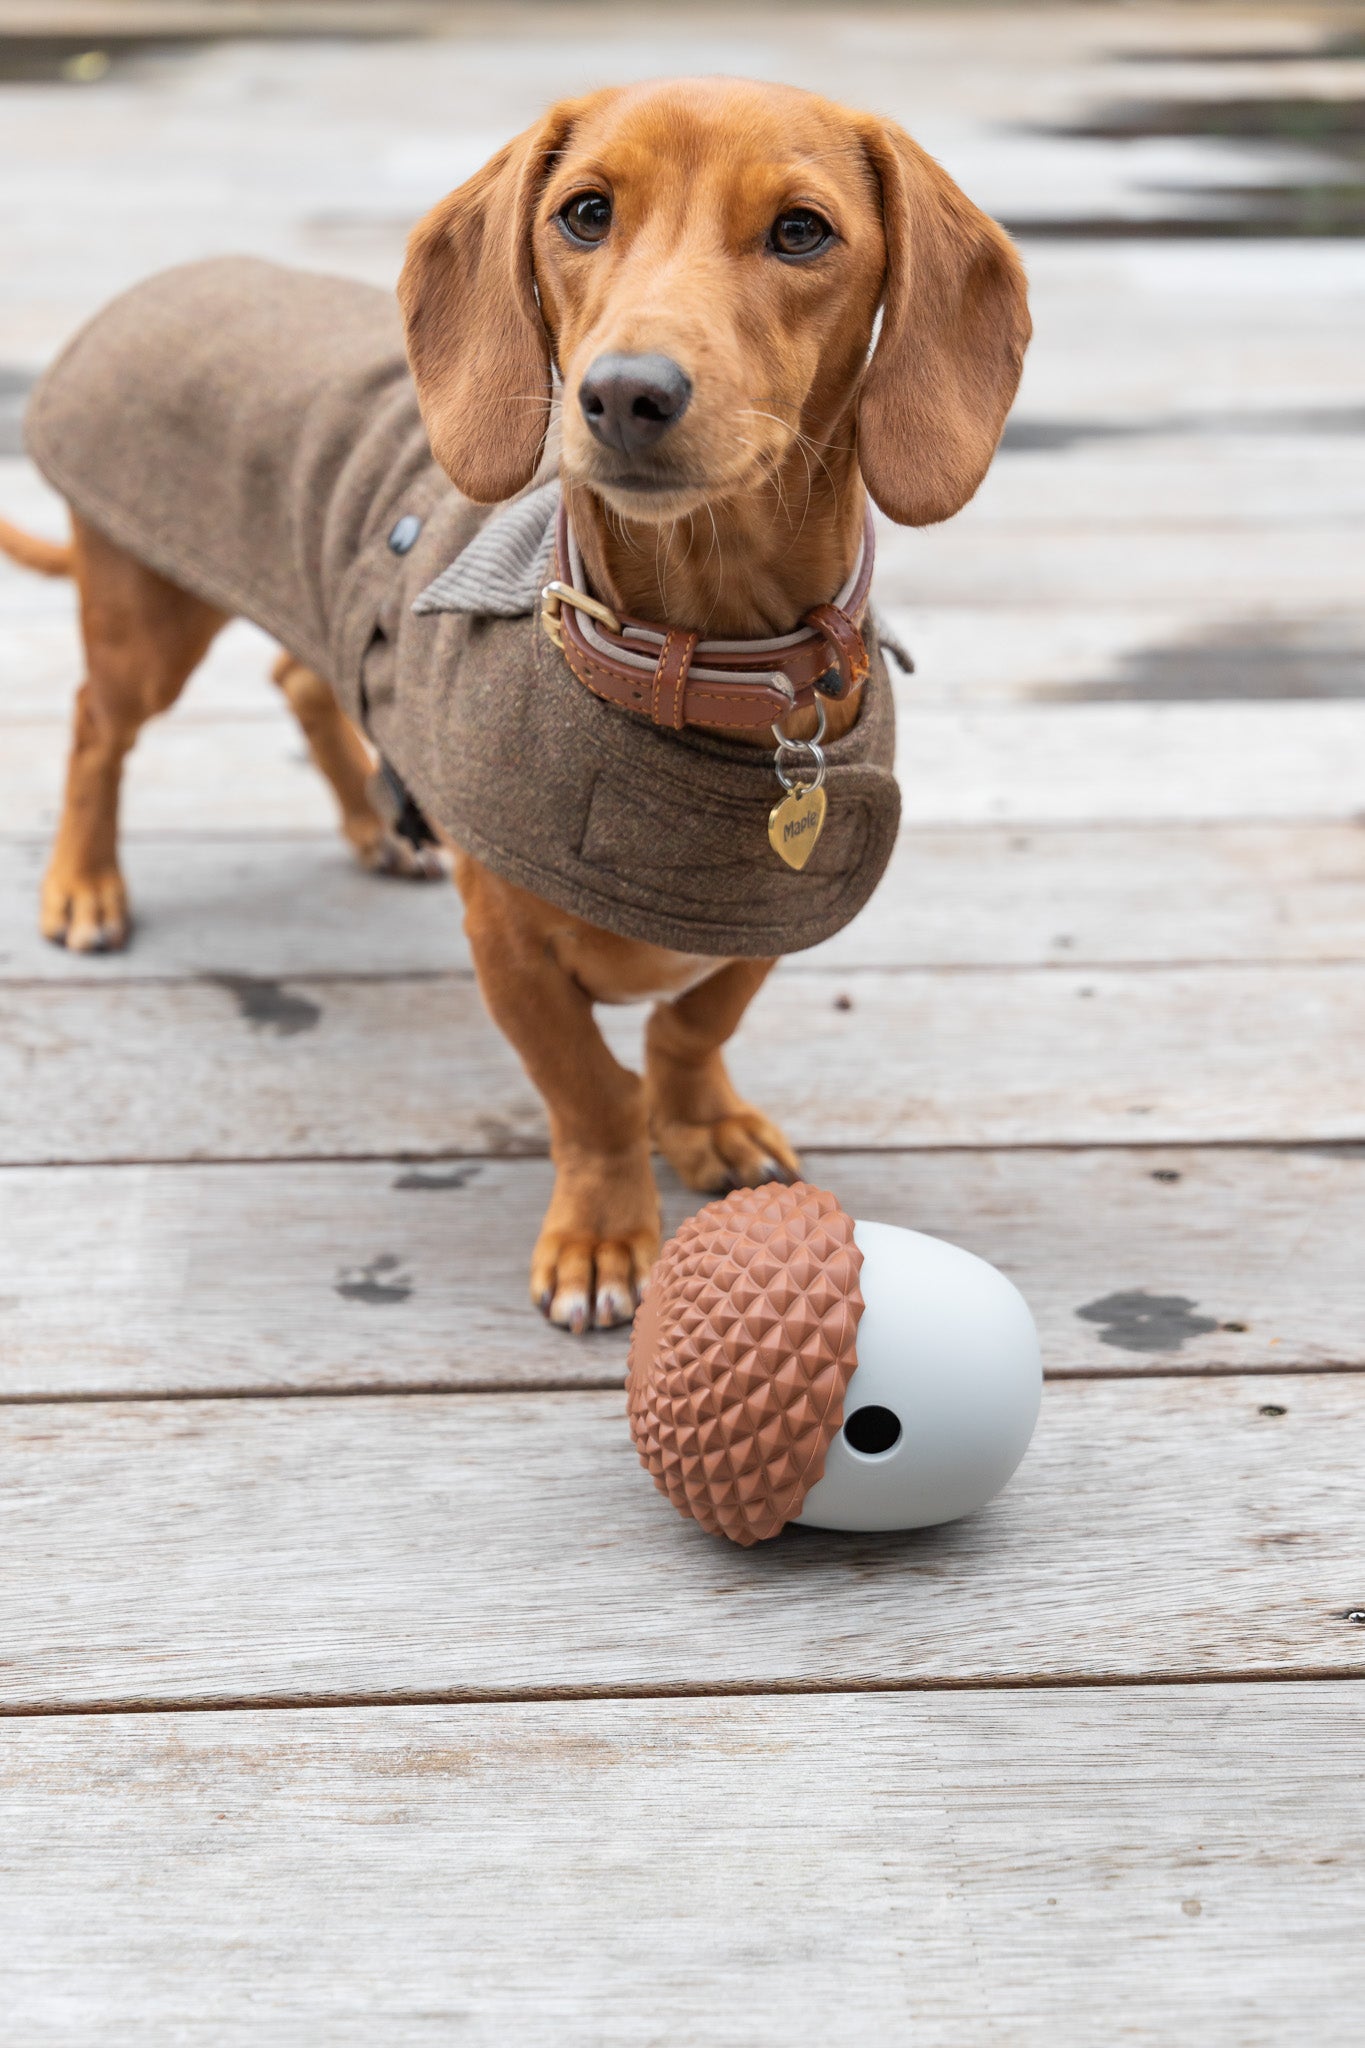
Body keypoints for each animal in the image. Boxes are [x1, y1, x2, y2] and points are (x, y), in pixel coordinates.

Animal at [0, 75, 1023, 1327]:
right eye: (585, 213)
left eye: (801, 232)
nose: (625, 394)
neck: (701, 662)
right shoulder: (508, 948)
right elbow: (589, 1089)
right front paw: (604, 1236)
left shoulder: (763, 920)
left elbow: (693, 1022)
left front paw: (706, 1122)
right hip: (144, 617)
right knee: (97, 728)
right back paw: (84, 885)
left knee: (302, 678)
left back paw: (374, 825)